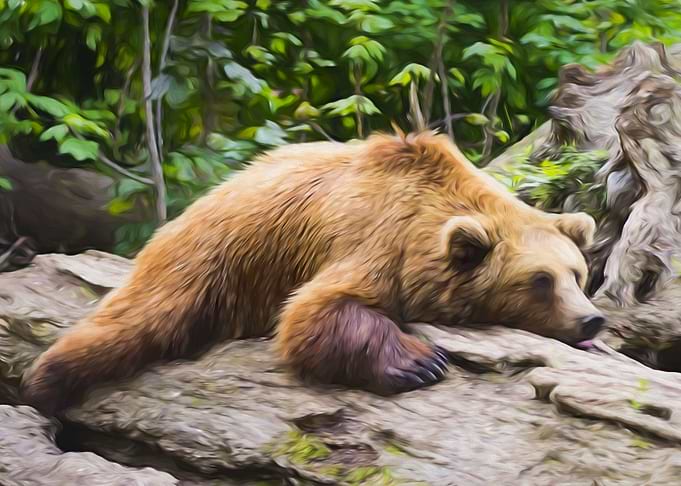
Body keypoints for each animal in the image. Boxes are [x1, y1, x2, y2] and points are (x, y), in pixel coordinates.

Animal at [21, 131, 605, 415]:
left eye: (577, 275)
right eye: (540, 281)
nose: (591, 320)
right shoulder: (374, 240)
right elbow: (316, 311)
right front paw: (421, 362)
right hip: (212, 257)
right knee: (141, 318)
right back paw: (46, 380)